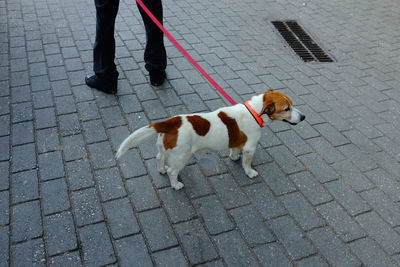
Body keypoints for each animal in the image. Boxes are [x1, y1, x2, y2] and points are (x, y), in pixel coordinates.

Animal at [117, 90, 304, 191]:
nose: (303, 117)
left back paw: (161, 169)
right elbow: (247, 163)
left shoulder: (237, 143)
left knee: (159, 159)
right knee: (172, 171)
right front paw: (250, 172)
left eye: (292, 104)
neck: (254, 112)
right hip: (181, 157)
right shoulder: (250, 148)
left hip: (164, 149)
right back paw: (175, 184)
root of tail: (170, 122)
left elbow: (234, 150)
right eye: (287, 109)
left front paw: (234, 157)